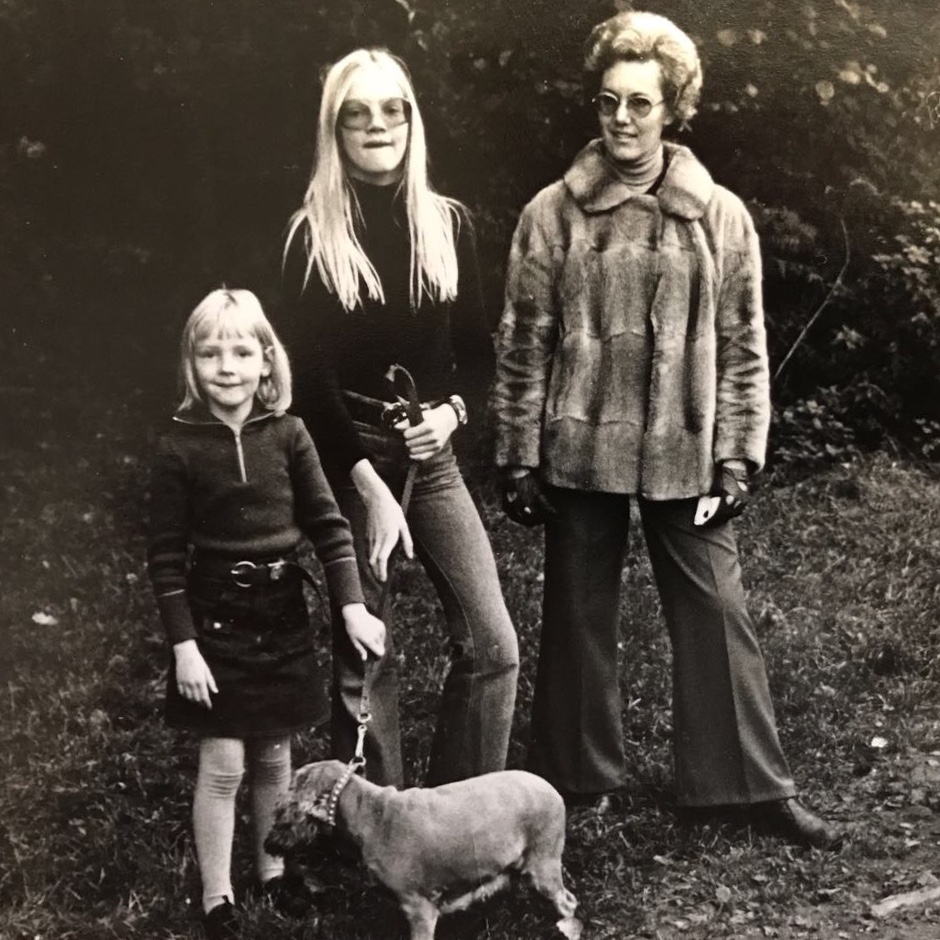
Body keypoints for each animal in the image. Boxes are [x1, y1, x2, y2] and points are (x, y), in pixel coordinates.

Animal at [266, 759, 582, 940]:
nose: (270, 844)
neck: (369, 809)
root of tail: (554, 791)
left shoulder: (419, 907)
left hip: (544, 862)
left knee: (568, 902)